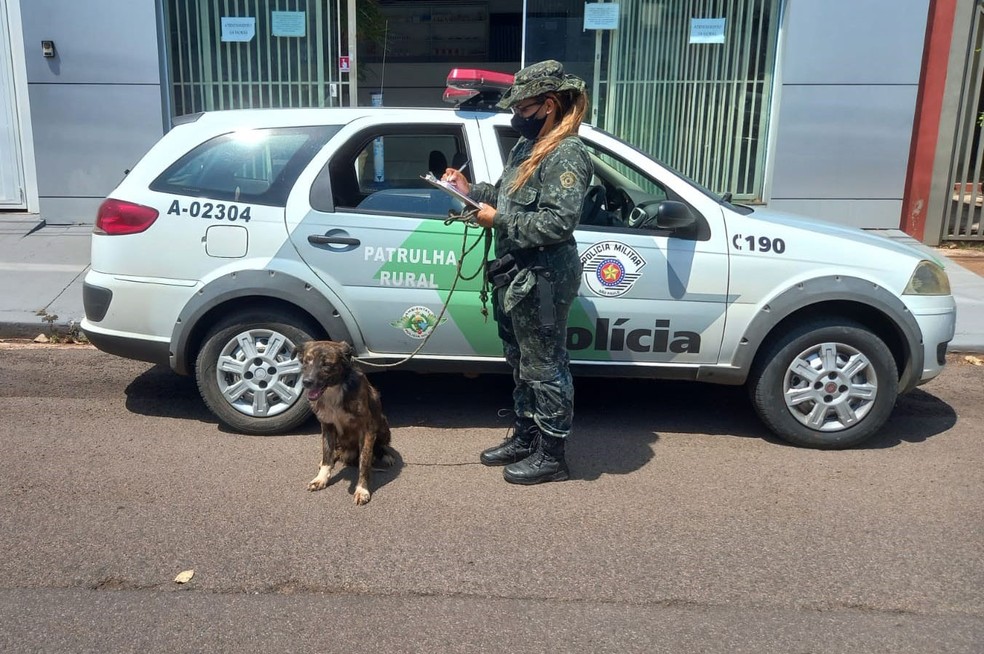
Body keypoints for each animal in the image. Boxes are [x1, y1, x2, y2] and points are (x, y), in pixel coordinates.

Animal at [298, 340, 394, 504]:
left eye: (326, 364)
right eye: (306, 361)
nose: (306, 382)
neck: (334, 391)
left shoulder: (367, 430)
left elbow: (364, 462)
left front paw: (362, 490)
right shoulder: (327, 426)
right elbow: (327, 454)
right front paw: (321, 478)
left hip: (383, 424)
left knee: (379, 446)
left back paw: (384, 455)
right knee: (334, 451)